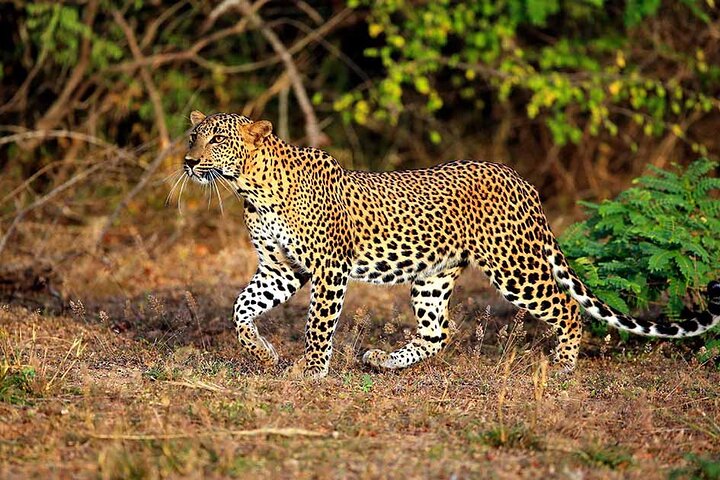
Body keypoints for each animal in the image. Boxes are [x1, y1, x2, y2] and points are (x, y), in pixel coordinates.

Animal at [180, 110, 720, 379]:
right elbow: (240, 309)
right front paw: (262, 354)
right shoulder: (280, 269)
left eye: (217, 140)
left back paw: (563, 368)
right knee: (440, 332)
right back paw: (383, 362)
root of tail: (521, 180)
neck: (250, 188)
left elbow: (317, 326)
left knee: (566, 307)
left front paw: (309, 372)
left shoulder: (328, 269)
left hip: (514, 265)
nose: (187, 161)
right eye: (192, 136)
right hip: (433, 275)